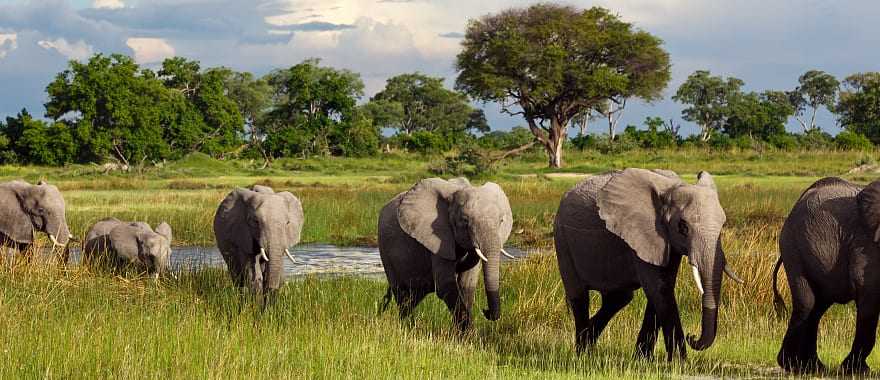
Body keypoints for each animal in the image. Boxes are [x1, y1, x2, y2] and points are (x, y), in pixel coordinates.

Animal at [378, 178, 516, 330]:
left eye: (501, 221)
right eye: (465, 221)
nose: (485, 311)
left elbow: (467, 284)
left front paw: (461, 333)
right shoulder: (438, 240)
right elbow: (446, 285)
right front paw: (468, 333)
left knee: (413, 298)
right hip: (385, 250)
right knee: (402, 296)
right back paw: (408, 328)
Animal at [556, 168, 744, 360]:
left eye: (723, 225)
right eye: (683, 227)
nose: (692, 337)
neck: (673, 188)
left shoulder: (666, 241)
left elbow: (663, 287)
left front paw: (643, 359)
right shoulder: (642, 233)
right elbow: (659, 289)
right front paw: (678, 361)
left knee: (618, 299)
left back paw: (589, 343)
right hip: (562, 240)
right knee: (580, 297)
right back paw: (582, 354)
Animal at [772, 178, 880, 374]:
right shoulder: (868, 246)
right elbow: (869, 296)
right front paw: (856, 371)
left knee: (817, 308)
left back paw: (813, 367)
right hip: (795, 249)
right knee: (807, 303)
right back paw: (793, 366)